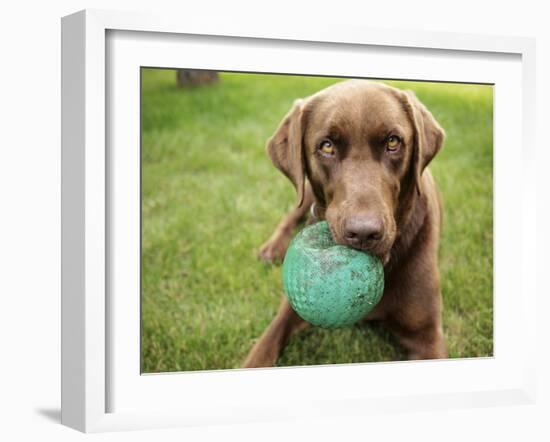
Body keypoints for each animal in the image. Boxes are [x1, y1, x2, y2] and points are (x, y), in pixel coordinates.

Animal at [245, 81, 448, 368]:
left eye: (393, 141)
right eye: (327, 146)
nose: (364, 233)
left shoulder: (427, 336)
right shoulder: (292, 308)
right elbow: (263, 347)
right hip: (305, 193)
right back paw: (271, 249)